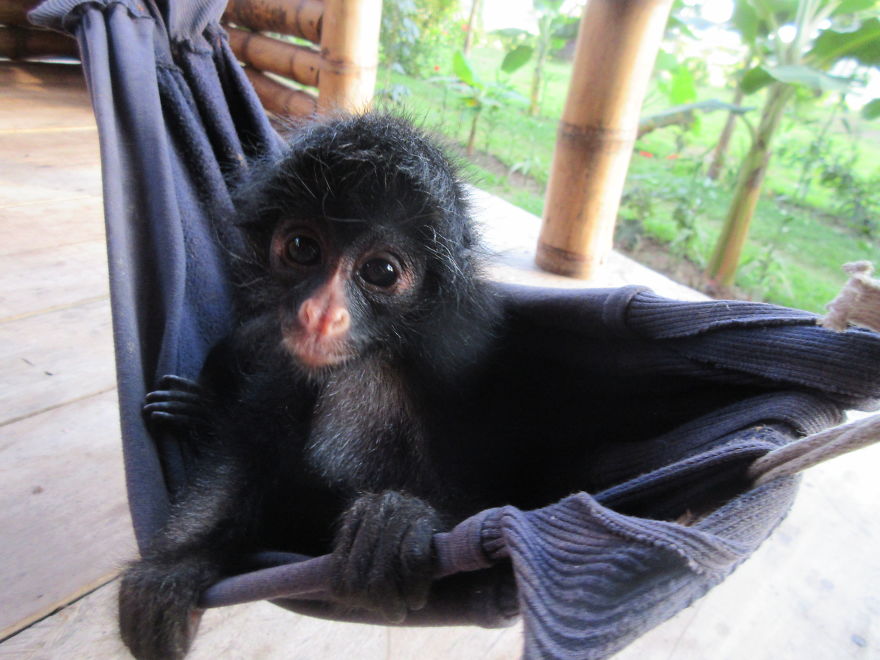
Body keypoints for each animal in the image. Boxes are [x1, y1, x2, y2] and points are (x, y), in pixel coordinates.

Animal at [117, 113, 527, 660]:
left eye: (381, 271)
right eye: (301, 248)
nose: (319, 313)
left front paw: (395, 524)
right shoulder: (283, 369)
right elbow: (242, 454)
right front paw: (173, 565)